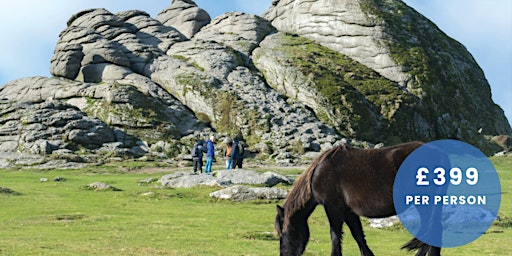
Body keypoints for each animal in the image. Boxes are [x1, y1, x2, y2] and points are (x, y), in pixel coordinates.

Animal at [274, 142, 442, 256]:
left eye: (283, 233)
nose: (284, 255)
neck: (320, 173)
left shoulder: (333, 208)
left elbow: (335, 236)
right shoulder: (348, 212)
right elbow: (358, 236)